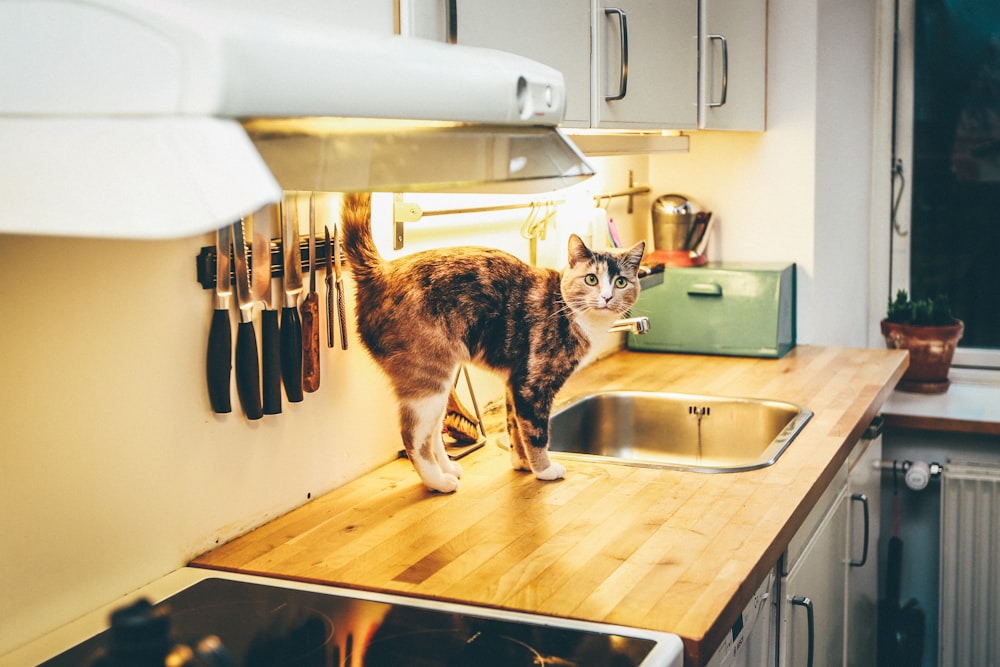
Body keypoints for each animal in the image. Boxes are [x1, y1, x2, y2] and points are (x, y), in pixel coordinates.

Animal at [340, 190, 644, 494]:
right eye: (591, 279)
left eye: (620, 282)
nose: (606, 297)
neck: (571, 313)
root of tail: (381, 271)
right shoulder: (533, 386)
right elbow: (536, 434)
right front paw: (544, 470)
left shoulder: (514, 382)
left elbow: (515, 428)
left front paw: (522, 464)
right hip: (428, 377)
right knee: (413, 437)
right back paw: (439, 481)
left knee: (433, 432)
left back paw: (448, 468)